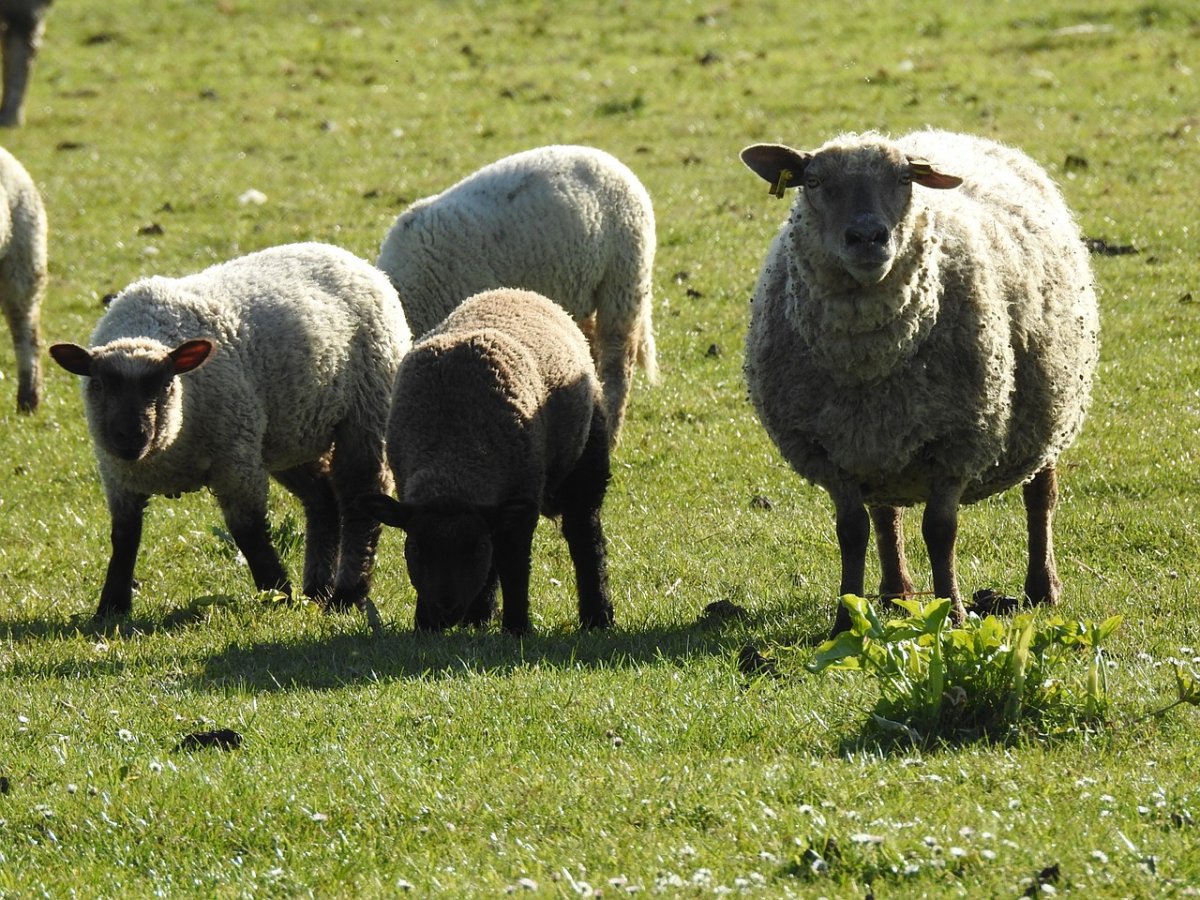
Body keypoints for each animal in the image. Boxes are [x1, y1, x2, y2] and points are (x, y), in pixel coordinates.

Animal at [49, 242, 411, 619]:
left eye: (164, 384)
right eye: (99, 384)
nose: (131, 436)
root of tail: (346, 256)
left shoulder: (236, 461)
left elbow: (248, 532)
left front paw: (277, 594)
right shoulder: (117, 477)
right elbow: (124, 538)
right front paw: (111, 607)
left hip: (367, 411)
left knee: (359, 501)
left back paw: (346, 595)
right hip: (287, 434)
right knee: (322, 500)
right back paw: (317, 588)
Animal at [361, 287, 614, 636]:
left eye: (476, 549)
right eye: (414, 548)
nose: (444, 614)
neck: (452, 452)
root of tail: (516, 291)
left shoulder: (524, 499)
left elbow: (515, 567)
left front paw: (517, 628)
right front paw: (427, 625)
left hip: (587, 460)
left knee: (585, 536)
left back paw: (597, 616)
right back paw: (479, 616)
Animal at [740, 129, 1100, 635]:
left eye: (904, 178)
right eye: (812, 181)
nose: (867, 237)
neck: (868, 359)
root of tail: (957, 135)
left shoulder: (958, 440)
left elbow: (940, 530)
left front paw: (954, 613)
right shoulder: (830, 451)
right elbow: (851, 531)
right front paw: (844, 622)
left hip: (1051, 406)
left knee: (1040, 497)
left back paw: (1042, 588)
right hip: (879, 447)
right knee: (885, 513)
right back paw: (896, 594)